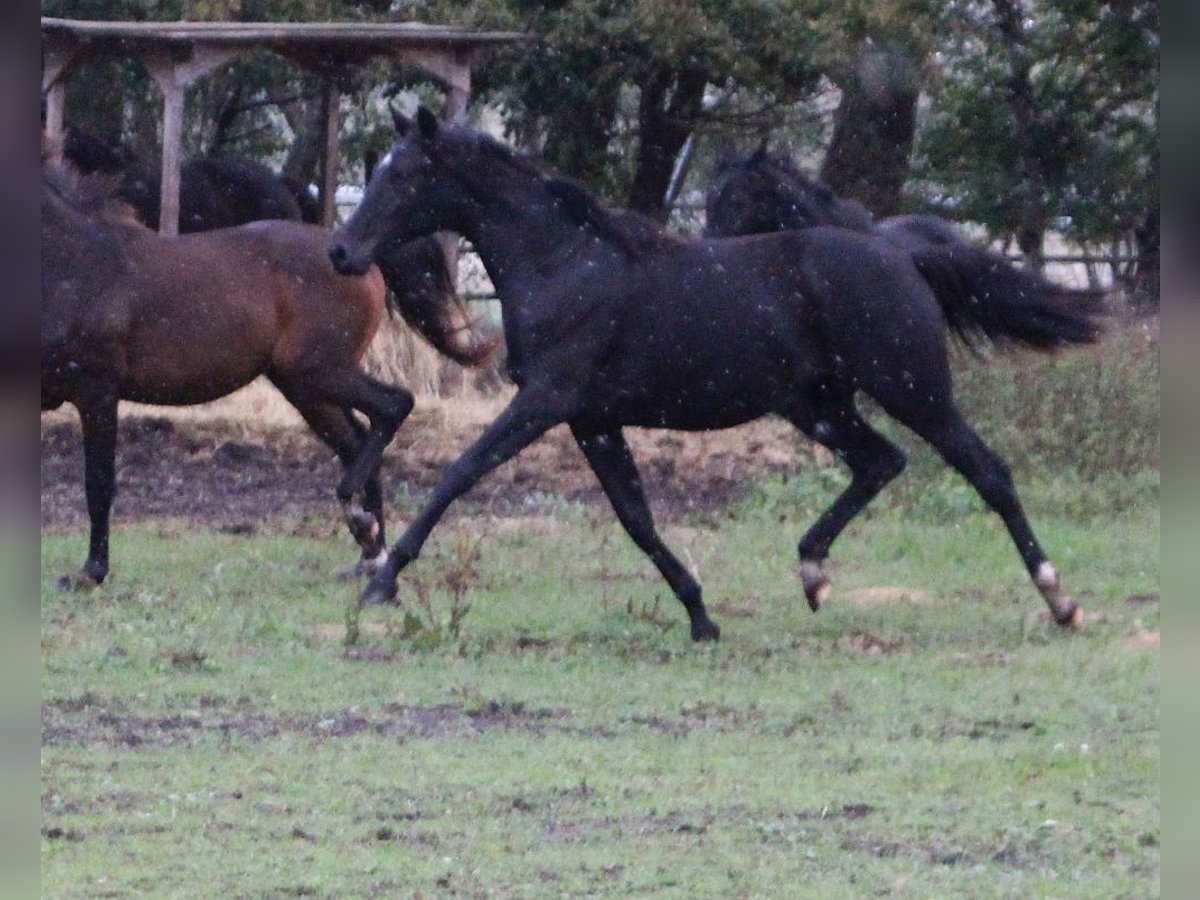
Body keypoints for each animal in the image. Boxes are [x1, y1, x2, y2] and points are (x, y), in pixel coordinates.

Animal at [42, 157, 492, 588]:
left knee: (394, 405)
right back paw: (369, 552)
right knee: (358, 440)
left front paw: (91, 572)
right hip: (306, 387)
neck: (75, 264)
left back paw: (361, 524)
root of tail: (354, 257)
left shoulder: (97, 389)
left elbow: (98, 482)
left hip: (318, 372)